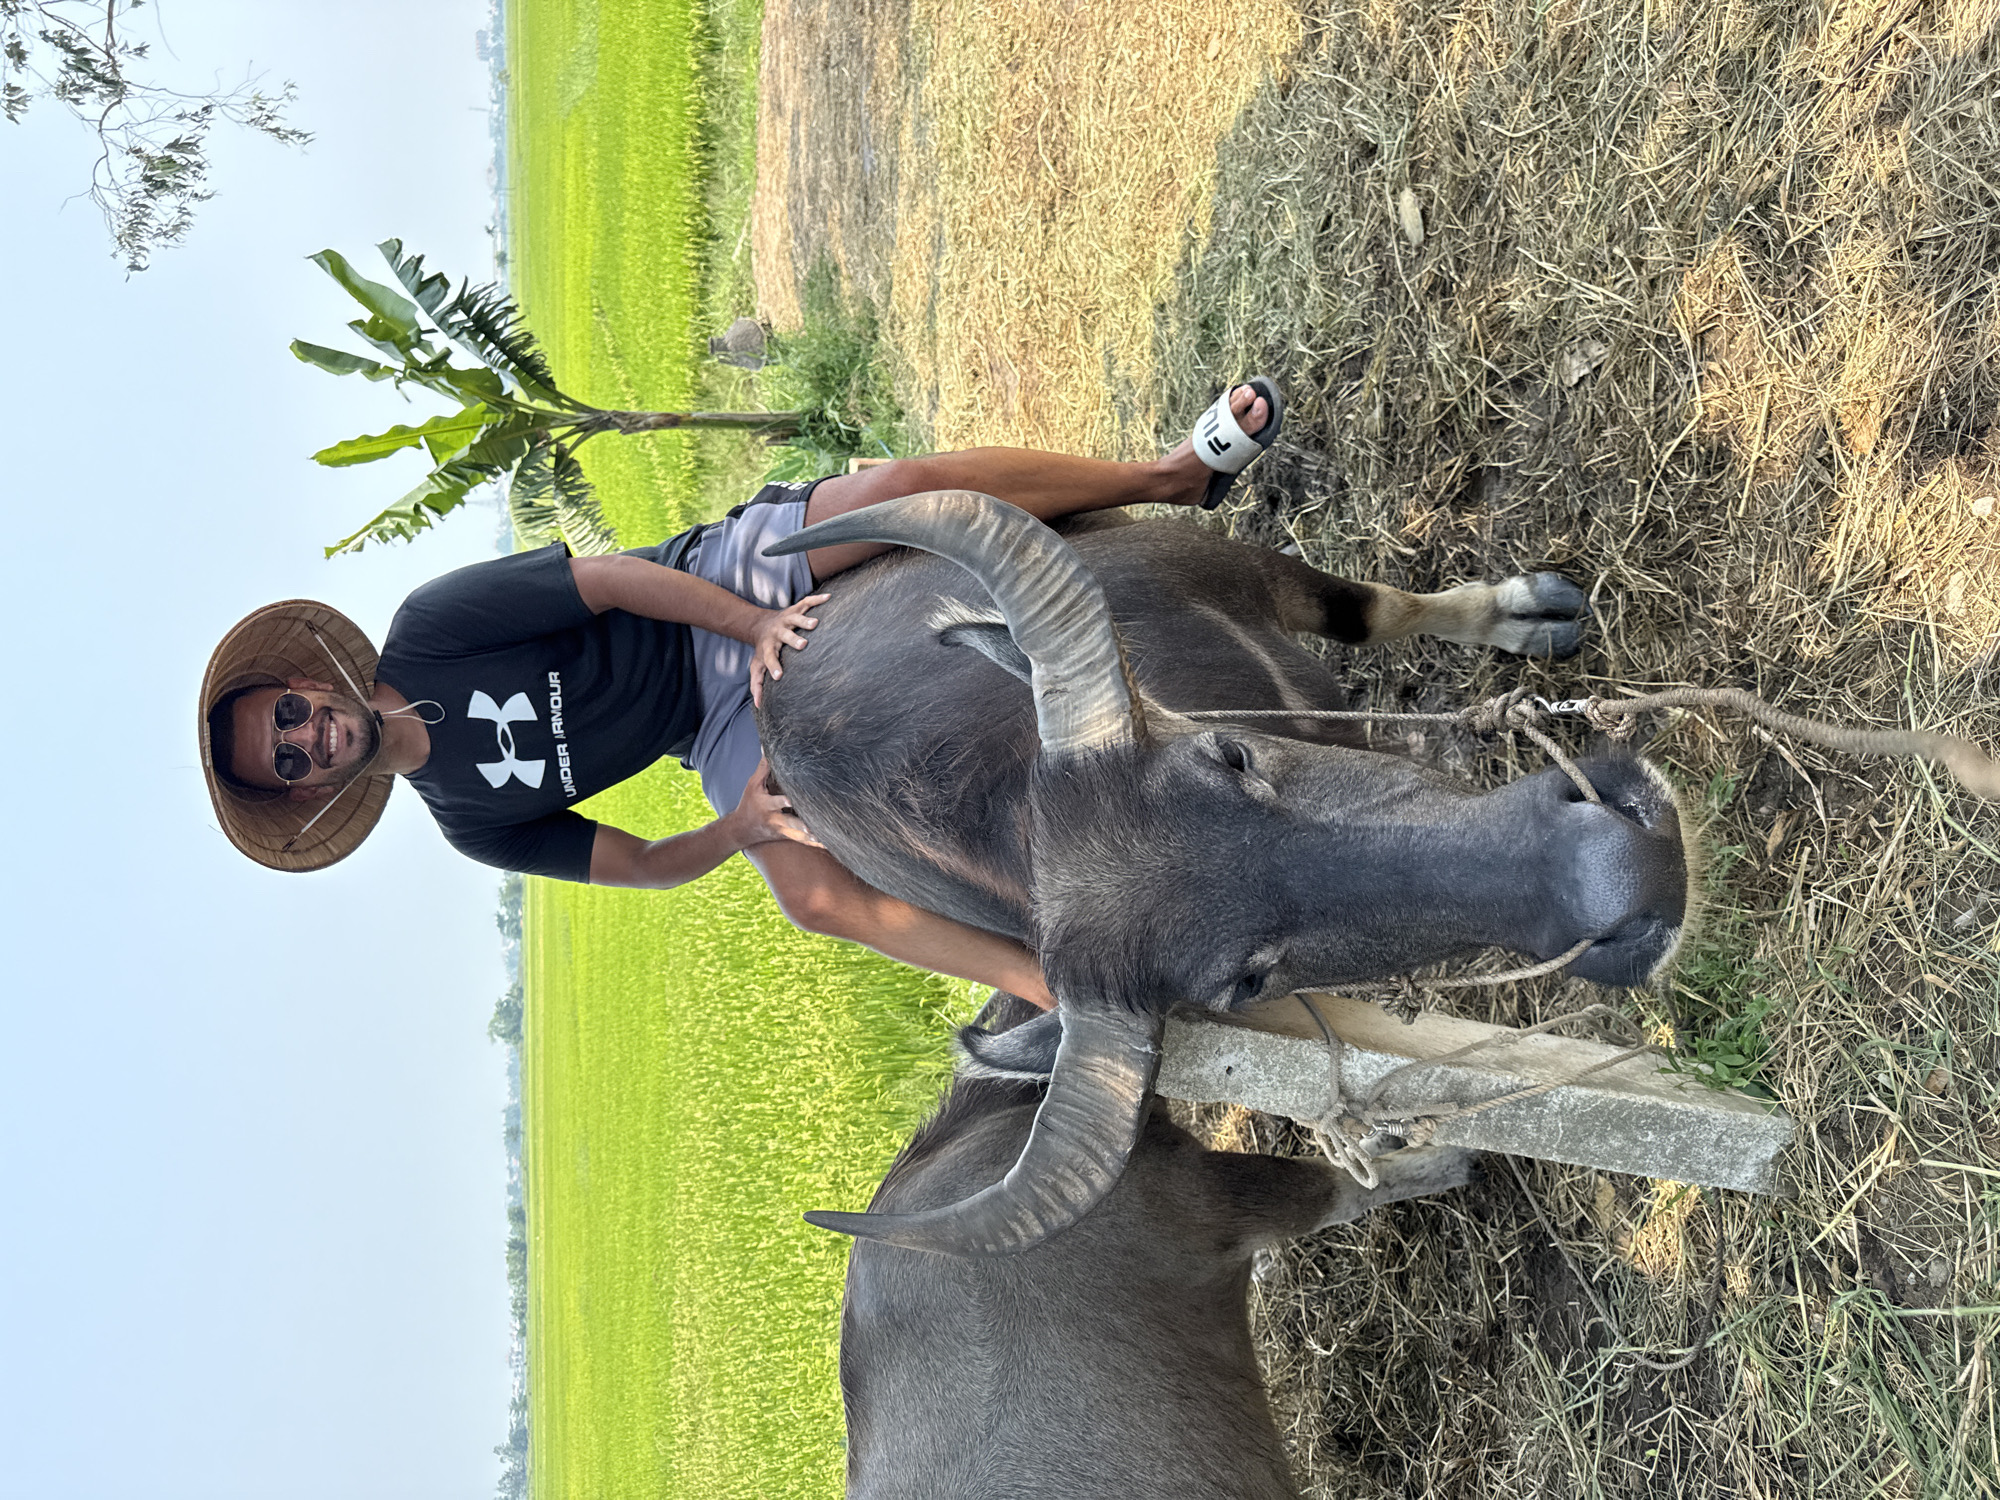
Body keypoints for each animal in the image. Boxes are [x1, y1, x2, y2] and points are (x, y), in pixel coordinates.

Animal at [761, 494, 1687, 1257]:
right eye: (1245, 982)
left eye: (1231, 754)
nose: (1617, 873)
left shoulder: (1236, 564)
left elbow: (1368, 610)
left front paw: (1526, 614)